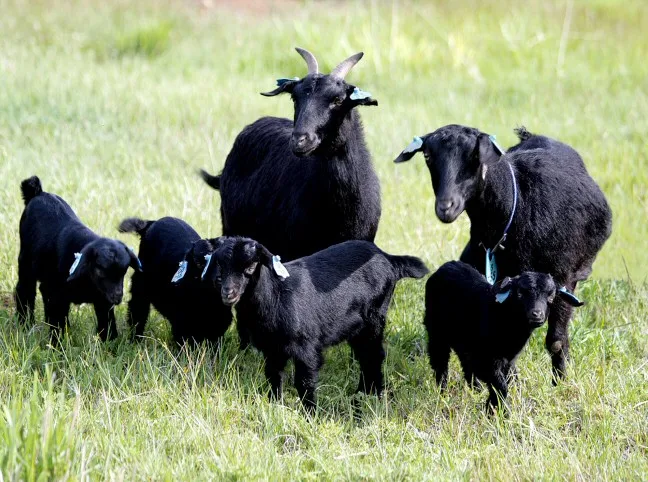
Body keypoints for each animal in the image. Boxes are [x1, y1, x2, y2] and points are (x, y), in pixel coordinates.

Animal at [14, 176, 141, 338]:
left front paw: (111, 342)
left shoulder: (102, 298)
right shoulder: (56, 293)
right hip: (26, 260)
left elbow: (107, 323)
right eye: (101, 271)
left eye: (124, 272)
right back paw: (25, 323)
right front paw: (56, 342)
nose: (117, 298)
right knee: (25, 290)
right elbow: (57, 323)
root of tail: (39, 193)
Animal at [202, 237, 430, 410]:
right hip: (357, 327)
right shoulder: (273, 348)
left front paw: (310, 413)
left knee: (374, 355)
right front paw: (275, 405)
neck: (276, 294)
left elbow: (304, 381)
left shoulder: (307, 348)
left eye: (250, 266)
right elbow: (274, 376)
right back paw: (364, 394)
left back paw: (370, 395)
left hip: (375, 317)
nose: (228, 293)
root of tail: (388, 258)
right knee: (366, 355)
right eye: (219, 266)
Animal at [394, 125, 612, 384]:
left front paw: (559, 384)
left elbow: (556, 341)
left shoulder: (562, 278)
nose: (446, 207)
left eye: (475, 157)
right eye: (427, 156)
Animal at [426, 262, 584, 408]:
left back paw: (475, 390)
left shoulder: (508, 357)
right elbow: (500, 386)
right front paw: (496, 411)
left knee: (465, 363)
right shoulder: (488, 358)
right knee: (440, 361)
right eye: (520, 293)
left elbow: (505, 381)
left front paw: (494, 407)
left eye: (551, 296)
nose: (536, 314)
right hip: (436, 332)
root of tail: (447, 265)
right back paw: (442, 393)